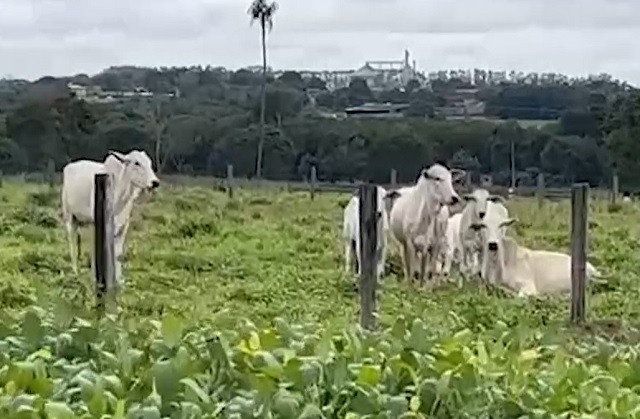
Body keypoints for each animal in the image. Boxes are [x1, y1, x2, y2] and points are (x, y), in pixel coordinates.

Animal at [61, 149, 160, 284]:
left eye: (149, 163)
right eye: (136, 163)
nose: (155, 182)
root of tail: (70, 166)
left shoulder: (122, 226)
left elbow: (117, 254)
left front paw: (118, 280)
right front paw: (96, 279)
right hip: (70, 218)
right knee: (72, 243)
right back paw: (75, 271)